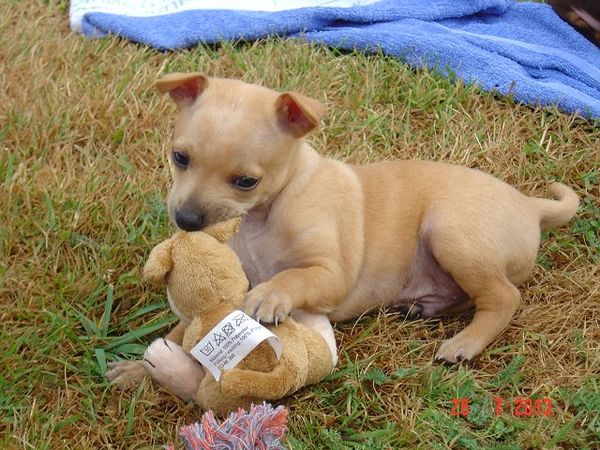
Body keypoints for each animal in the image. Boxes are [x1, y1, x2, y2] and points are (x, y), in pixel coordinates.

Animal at [149, 72, 576, 364]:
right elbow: (188, 326)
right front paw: (148, 363)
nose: (186, 219)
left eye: (246, 182)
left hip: (451, 233)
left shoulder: (332, 274)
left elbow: (294, 276)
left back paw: (465, 343)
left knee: (503, 297)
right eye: (179, 157)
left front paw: (270, 295)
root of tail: (528, 205)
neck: (268, 212)